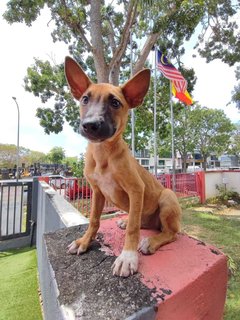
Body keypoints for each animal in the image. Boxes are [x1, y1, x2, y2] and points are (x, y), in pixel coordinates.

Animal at [64, 57, 181, 278]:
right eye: (85, 99)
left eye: (115, 102)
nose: (90, 125)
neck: (103, 154)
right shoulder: (97, 192)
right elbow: (94, 220)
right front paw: (85, 241)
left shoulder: (136, 189)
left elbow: (133, 229)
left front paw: (127, 257)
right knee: (143, 221)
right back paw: (126, 221)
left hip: (167, 196)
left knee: (170, 232)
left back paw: (151, 241)